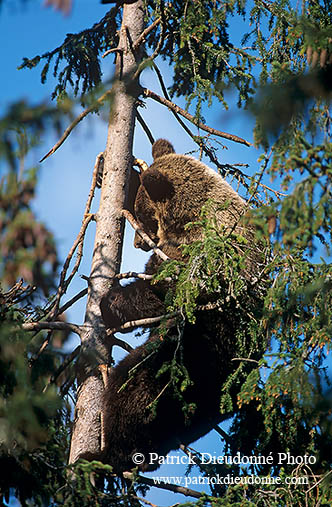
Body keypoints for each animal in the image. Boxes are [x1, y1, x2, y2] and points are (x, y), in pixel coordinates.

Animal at [100, 139, 266, 472]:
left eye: (145, 216)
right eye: (138, 209)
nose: (138, 243)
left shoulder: (203, 260)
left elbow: (161, 293)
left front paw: (110, 302)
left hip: (191, 354)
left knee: (135, 386)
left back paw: (113, 447)